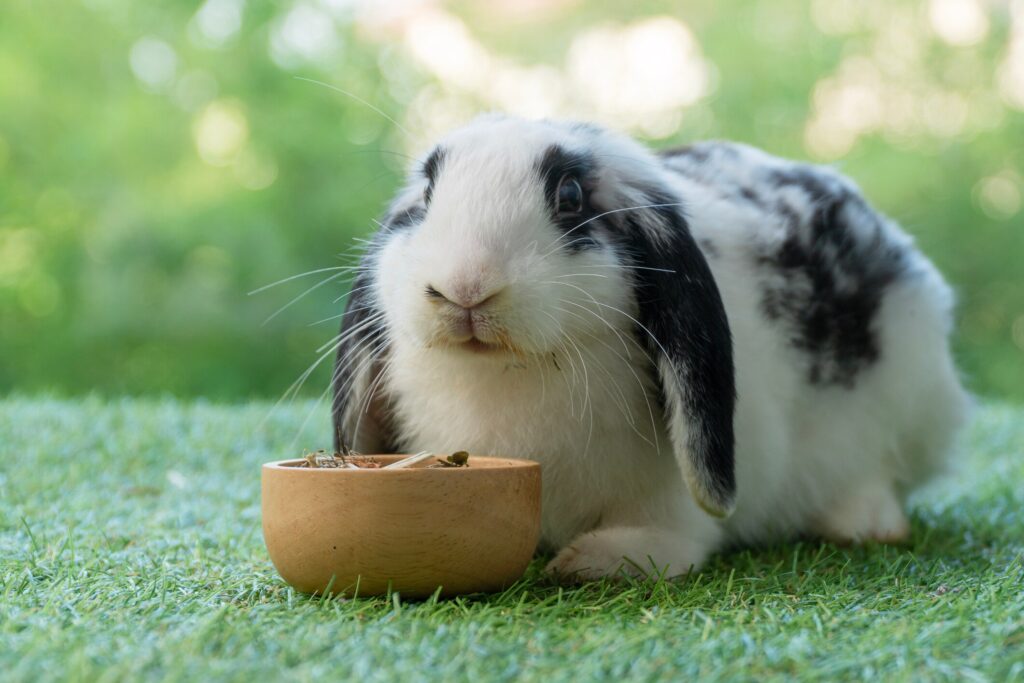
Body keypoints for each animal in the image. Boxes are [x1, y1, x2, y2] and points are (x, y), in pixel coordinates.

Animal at [330, 114, 970, 580]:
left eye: (570, 195)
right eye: (428, 192)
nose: (464, 288)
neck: (506, 371)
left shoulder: (673, 489)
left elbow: (673, 529)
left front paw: (598, 560)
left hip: (913, 396)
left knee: (880, 472)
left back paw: (864, 521)